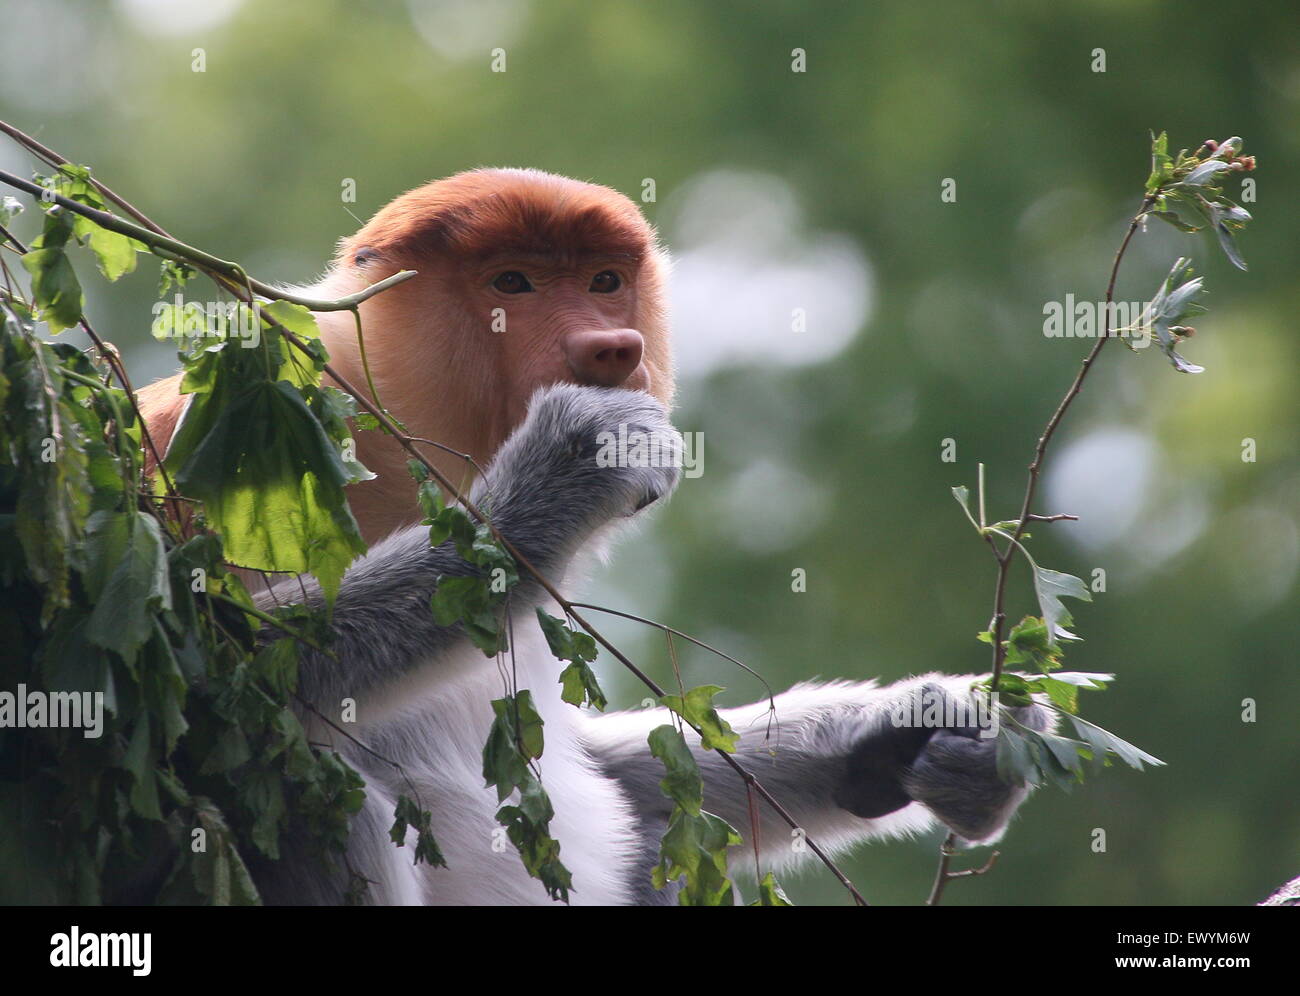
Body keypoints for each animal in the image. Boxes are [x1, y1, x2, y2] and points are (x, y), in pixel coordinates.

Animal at [136, 170, 1051, 904]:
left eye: (605, 280)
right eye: (514, 282)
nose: (615, 348)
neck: (394, 451)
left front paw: (931, 732)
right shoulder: (195, 443)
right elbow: (210, 676)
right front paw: (580, 456)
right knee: (302, 779)